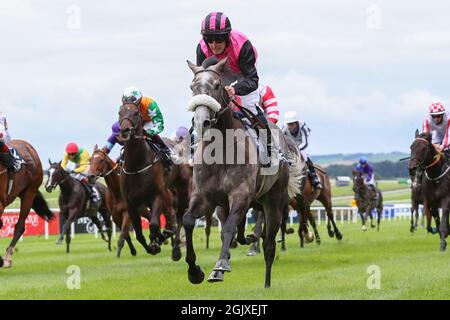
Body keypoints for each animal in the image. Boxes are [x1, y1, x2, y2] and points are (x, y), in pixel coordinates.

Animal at [185, 58, 304, 288]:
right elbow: (188, 221)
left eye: (217, 85)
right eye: (192, 86)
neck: (221, 150)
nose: (202, 122)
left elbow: (229, 227)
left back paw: (267, 282)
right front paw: (194, 272)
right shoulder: (205, 196)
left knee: (269, 244)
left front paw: (220, 266)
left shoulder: (240, 193)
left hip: (273, 201)